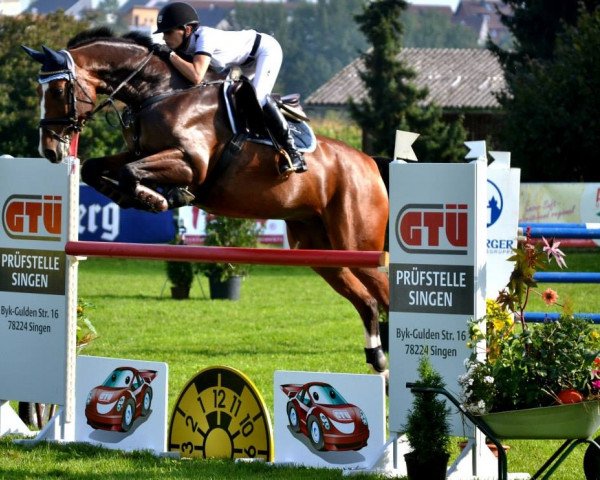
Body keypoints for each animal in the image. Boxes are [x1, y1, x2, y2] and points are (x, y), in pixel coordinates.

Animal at [22, 27, 390, 376]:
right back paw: (377, 361)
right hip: (322, 252)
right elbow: (95, 167)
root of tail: (369, 163)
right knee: (368, 302)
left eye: (57, 91)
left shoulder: (190, 163)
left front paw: (156, 197)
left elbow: (130, 172)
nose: (49, 150)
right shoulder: (141, 152)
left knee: (383, 294)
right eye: (40, 92)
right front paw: (133, 195)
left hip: (357, 245)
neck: (158, 93)